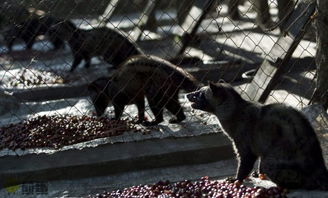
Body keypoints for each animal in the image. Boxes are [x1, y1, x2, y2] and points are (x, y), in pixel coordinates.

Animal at [187, 81, 328, 190]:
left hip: (271, 160)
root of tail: (321, 169)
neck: (235, 111)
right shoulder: (260, 147)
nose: (187, 94)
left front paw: (236, 179)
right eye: (197, 91)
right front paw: (259, 174)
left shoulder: (245, 148)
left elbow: (243, 167)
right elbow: (258, 166)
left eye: (199, 94)